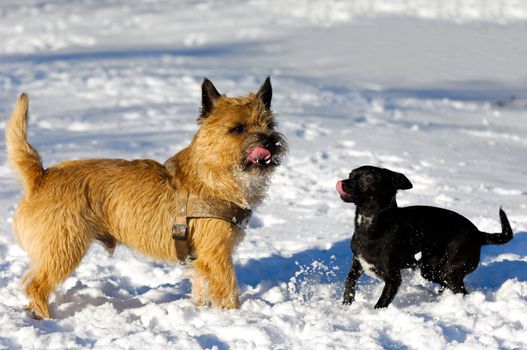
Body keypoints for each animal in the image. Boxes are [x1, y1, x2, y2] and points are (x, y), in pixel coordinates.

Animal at [5, 78, 284, 318]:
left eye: (270, 125)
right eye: (238, 129)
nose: (270, 142)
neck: (213, 174)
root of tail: (40, 176)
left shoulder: (202, 260)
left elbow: (201, 289)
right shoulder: (217, 256)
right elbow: (228, 292)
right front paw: (234, 316)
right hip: (63, 248)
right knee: (35, 286)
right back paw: (46, 318)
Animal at [336, 165, 512, 308]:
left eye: (368, 178)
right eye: (351, 174)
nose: (342, 183)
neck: (372, 225)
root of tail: (478, 233)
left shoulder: (393, 279)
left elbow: (381, 303)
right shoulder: (357, 264)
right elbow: (349, 284)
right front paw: (346, 306)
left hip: (450, 271)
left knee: (462, 291)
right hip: (431, 270)